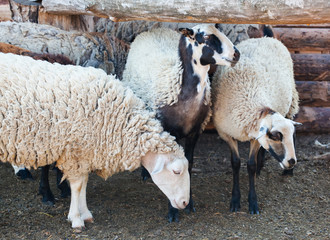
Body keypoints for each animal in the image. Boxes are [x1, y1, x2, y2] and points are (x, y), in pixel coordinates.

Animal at [0, 52, 191, 229]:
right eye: (176, 171)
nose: (185, 203)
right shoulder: (76, 152)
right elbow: (77, 186)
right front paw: (76, 219)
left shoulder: (86, 153)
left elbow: (84, 184)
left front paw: (85, 214)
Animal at [121, 23, 240, 221]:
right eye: (206, 37)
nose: (236, 54)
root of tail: (153, 29)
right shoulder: (170, 132)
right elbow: (172, 164)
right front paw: (173, 211)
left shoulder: (195, 132)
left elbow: (189, 163)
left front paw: (189, 203)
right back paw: (145, 174)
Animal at [211, 37, 302, 214]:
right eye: (275, 136)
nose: (292, 161)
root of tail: (267, 37)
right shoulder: (227, 134)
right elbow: (235, 163)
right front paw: (235, 200)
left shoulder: (255, 137)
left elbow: (250, 165)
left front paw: (253, 202)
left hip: (292, 103)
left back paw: (287, 172)